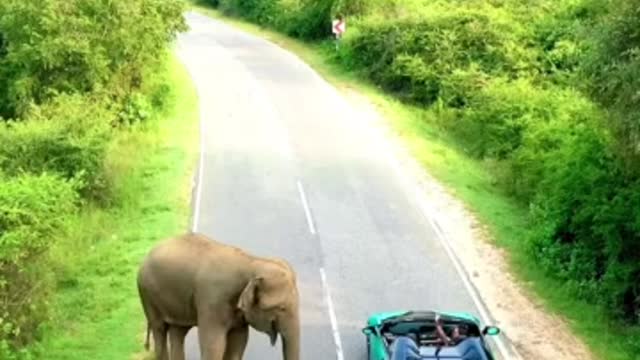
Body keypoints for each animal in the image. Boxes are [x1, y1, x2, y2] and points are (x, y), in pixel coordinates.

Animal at [136, 232, 300, 358]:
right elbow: (213, 345)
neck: (251, 262)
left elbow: (238, 341)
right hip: (147, 294)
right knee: (159, 330)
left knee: (178, 332)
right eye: (281, 308)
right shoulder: (212, 300)